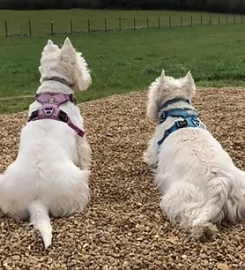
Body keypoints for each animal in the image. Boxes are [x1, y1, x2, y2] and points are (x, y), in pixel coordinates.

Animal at [0, 38, 91, 249]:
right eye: (80, 60)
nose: (88, 75)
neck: (53, 93)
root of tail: (37, 201)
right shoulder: (80, 137)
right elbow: (85, 156)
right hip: (77, 184)